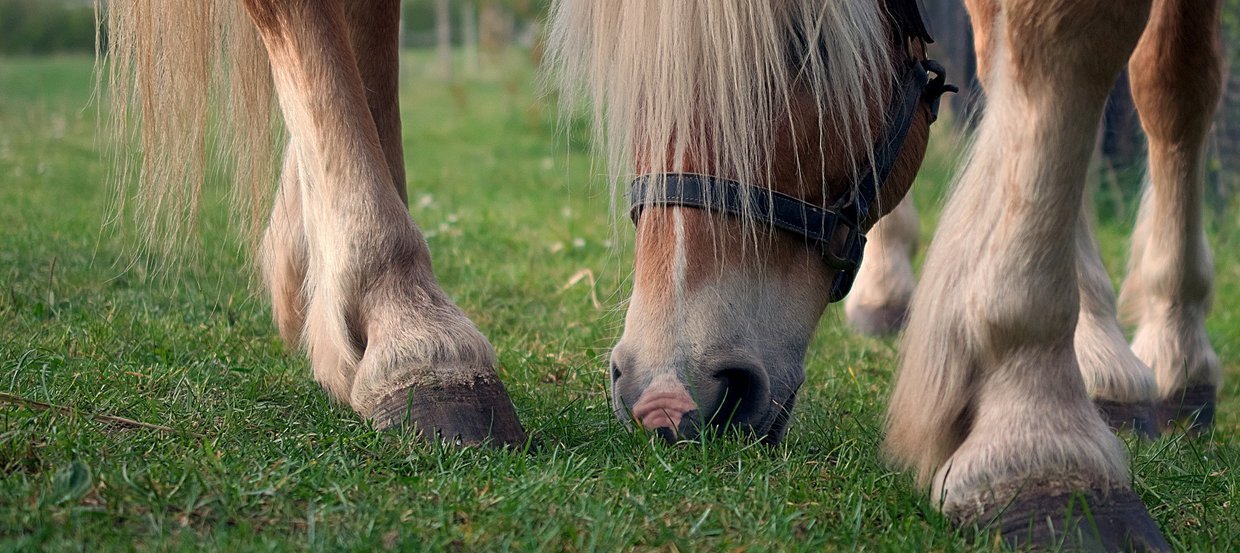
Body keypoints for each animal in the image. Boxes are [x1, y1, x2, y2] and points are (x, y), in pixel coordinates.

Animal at [99, 0, 1220, 548]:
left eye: (803, 50)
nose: (671, 397)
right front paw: (1035, 428)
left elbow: (1162, 67)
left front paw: (1141, 350)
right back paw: (402, 325)